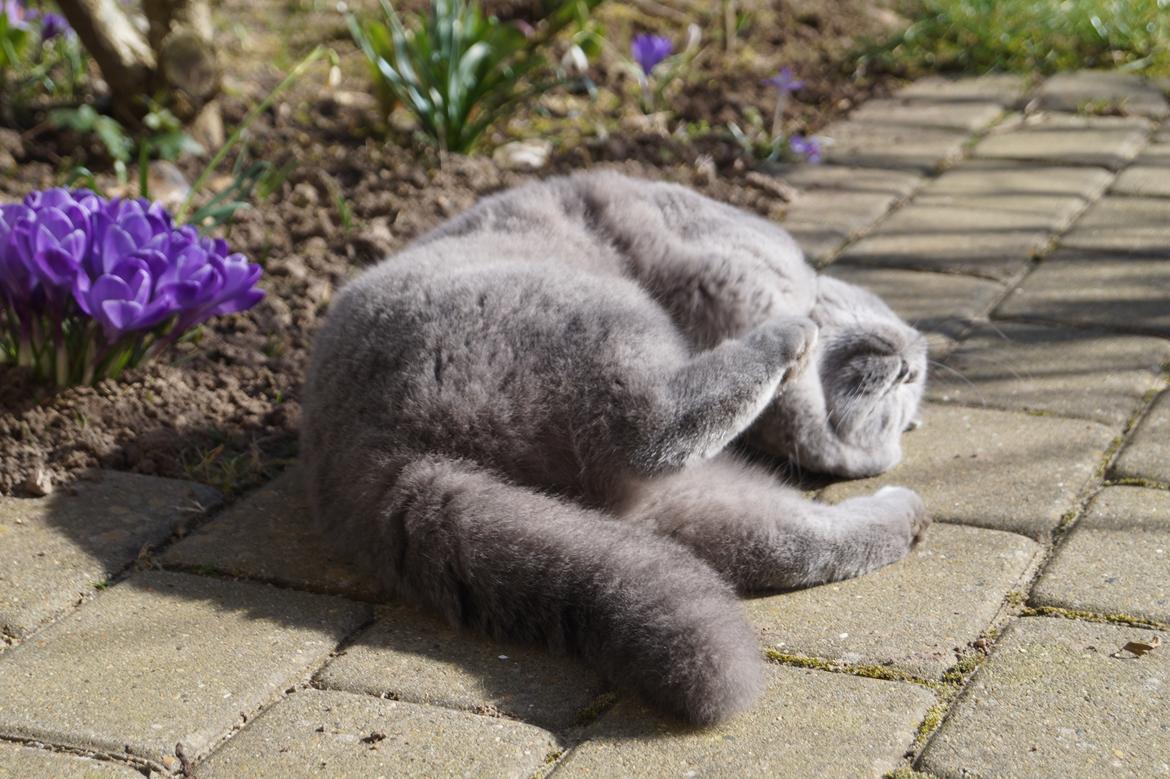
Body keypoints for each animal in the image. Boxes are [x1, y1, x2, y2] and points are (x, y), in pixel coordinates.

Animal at [304, 169, 931, 720]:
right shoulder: (721, 263)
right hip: (590, 305)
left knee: (788, 539)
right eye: (909, 390)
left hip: (665, 489)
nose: (907, 371)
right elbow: (794, 388)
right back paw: (790, 341)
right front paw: (834, 413)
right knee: (649, 424)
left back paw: (907, 512)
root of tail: (369, 457)